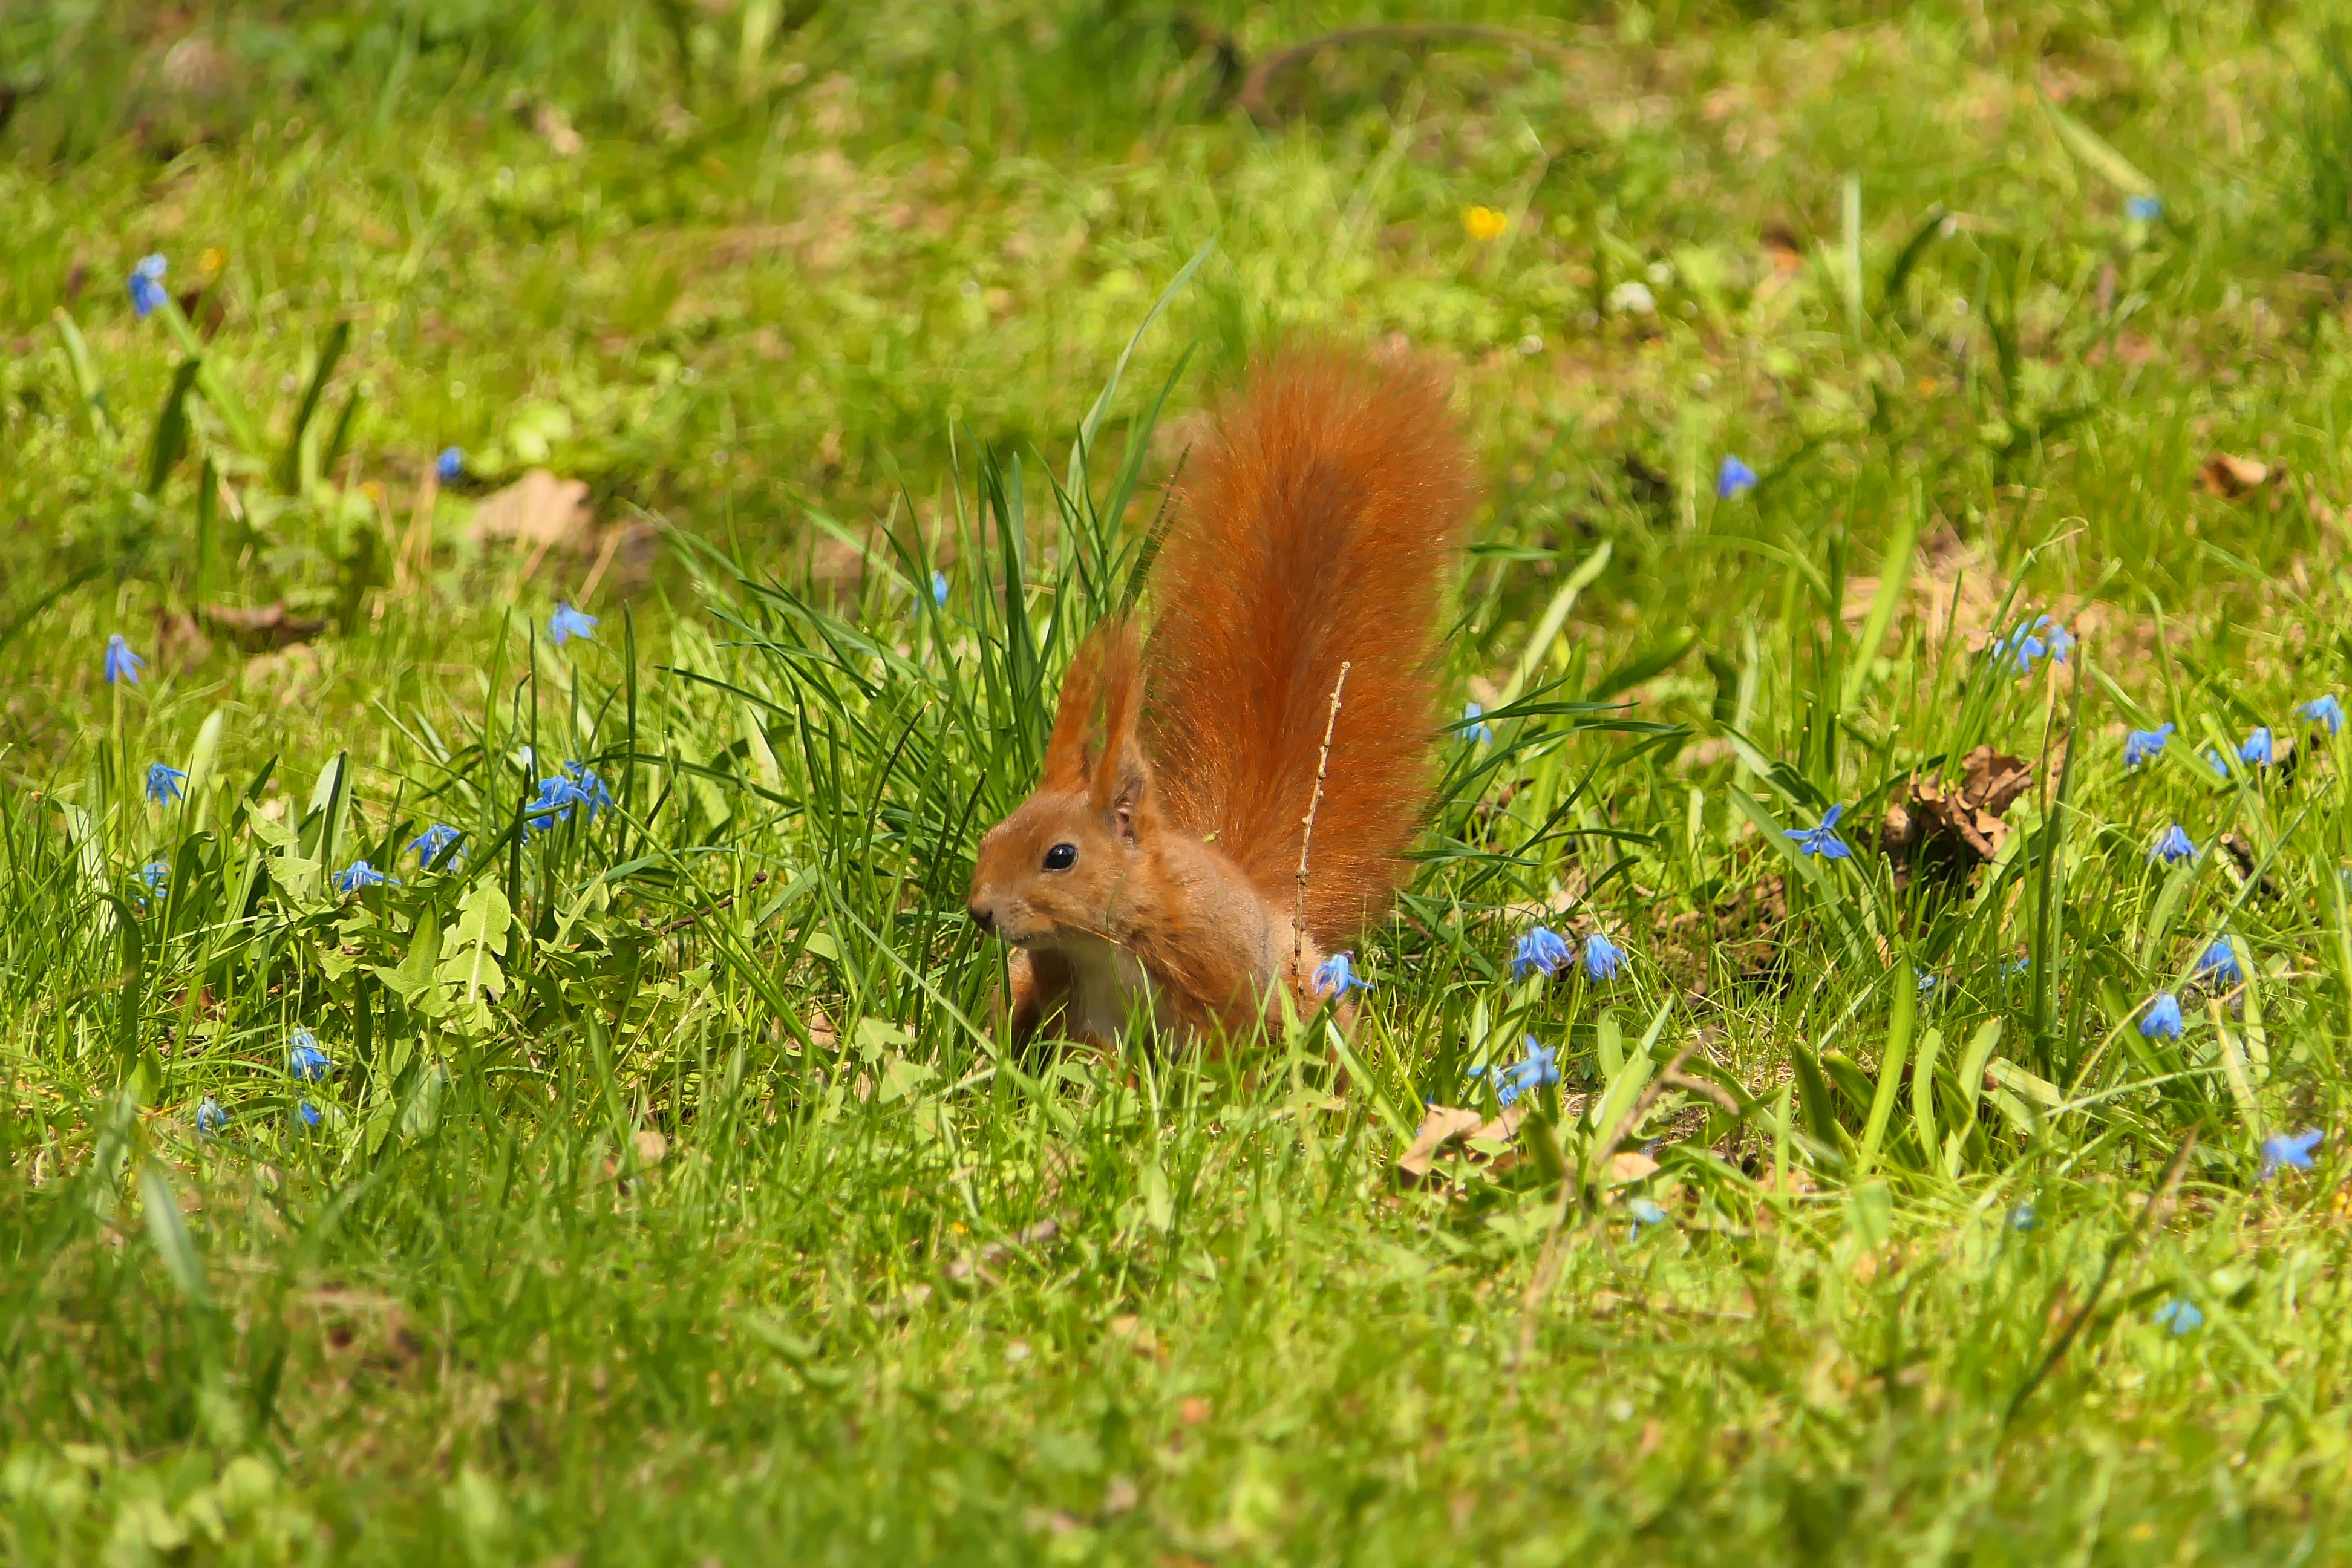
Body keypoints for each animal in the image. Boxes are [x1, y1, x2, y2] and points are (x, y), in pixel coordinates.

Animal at [965, 345, 1474, 1046]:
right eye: (991, 836)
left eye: (1060, 857)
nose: (980, 912)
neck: (1102, 940)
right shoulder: (1075, 996)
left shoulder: (1215, 972)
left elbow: (1225, 1040)